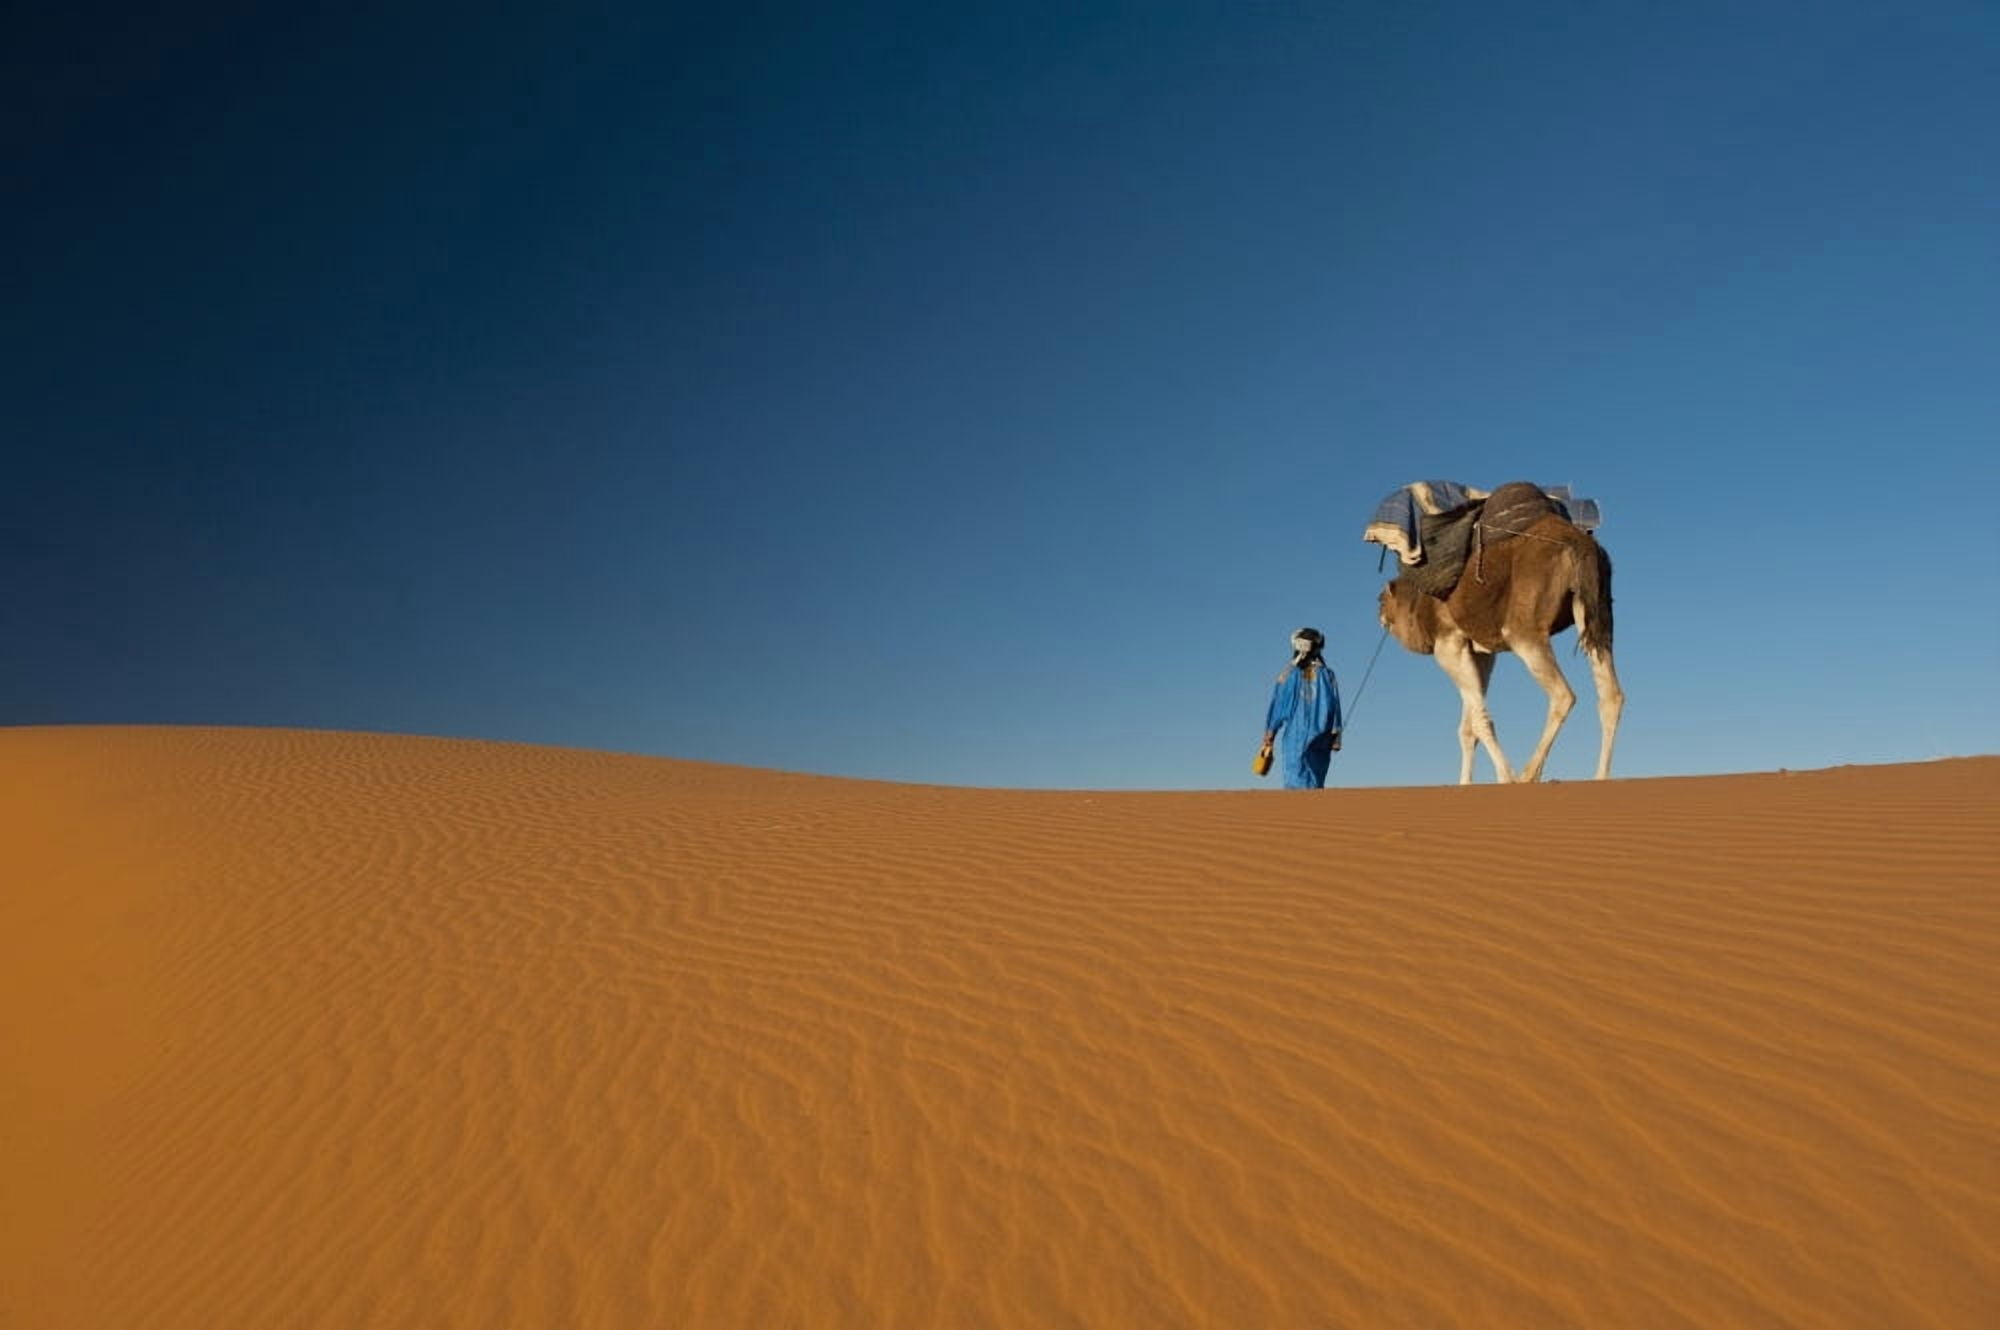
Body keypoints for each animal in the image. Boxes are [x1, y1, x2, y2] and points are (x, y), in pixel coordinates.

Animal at [1377, 485, 1624, 784]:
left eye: (1381, 601)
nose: (1378, 610)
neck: (1418, 603)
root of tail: (1579, 541)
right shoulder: (1480, 653)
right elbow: (1467, 729)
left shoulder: (1448, 645)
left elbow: (1480, 721)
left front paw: (1506, 776)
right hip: (1595, 611)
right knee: (1611, 694)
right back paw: (1600, 777)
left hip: (1524, 627)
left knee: (1563, 694)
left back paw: (1528, 775)